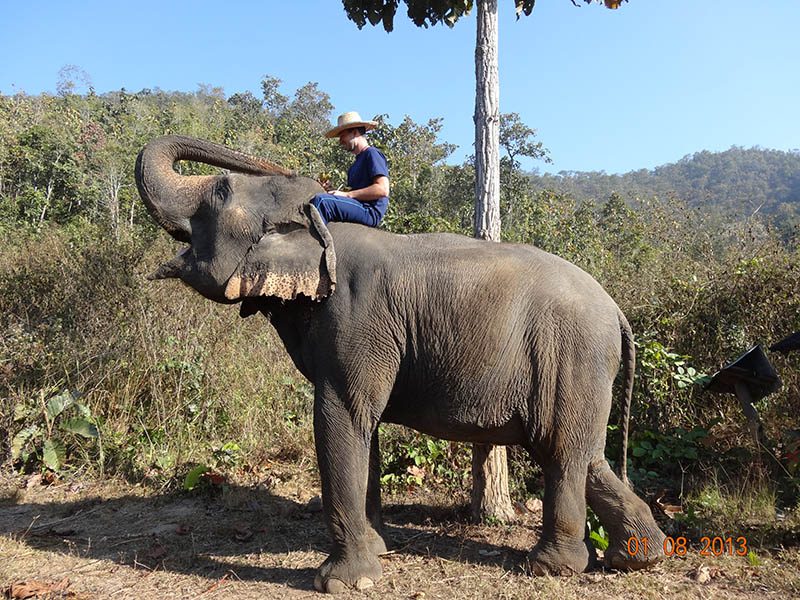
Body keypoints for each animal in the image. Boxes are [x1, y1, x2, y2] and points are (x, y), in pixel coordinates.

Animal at [134, 135, 664, 592]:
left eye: (220, 192)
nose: (295, 171)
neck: (322, 230)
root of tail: (617, 311)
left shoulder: (356, 319)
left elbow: (340, 417)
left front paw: (344, 582)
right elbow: (360, 428)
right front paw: (378, 551)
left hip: (573, 359)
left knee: (563, 453)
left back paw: (551, 567)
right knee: (586, 455)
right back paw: (637, 557)